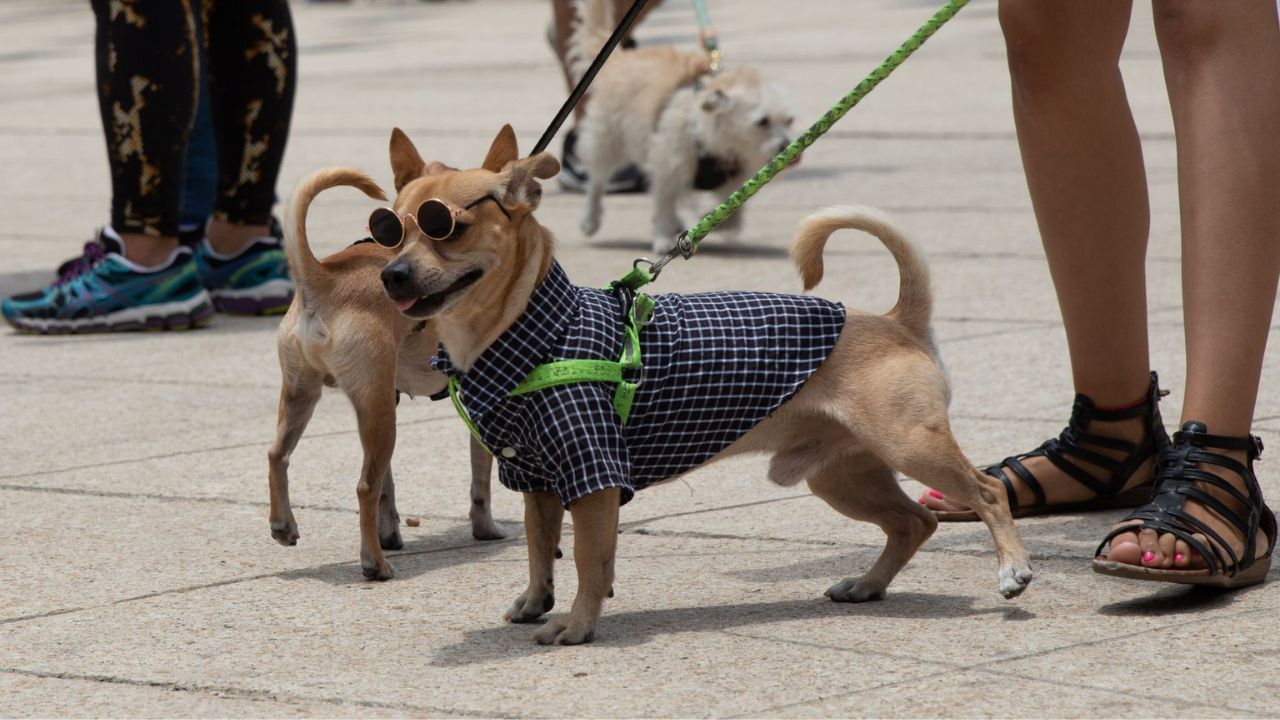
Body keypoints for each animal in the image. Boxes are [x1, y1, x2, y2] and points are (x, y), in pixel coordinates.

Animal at [267, 155, 501, 576]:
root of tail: (322, 280)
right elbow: (481, 480)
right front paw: (485, 528)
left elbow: (388, 493)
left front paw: (389, 533)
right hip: (377, 415)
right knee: (365, 486)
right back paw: (374, 563)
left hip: (305, 394)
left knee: (278, 454)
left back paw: (284, 524)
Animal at [381, 127, 1039, 645]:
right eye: (389, 229)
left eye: (447, 227)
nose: (391, 274)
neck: (533, 332)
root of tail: (895, 320)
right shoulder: (535, 479)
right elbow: (541, 549)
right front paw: (536, 601)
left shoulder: (593, 478)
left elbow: (590, 562)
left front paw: (577, 623)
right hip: (841, 475)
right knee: (914, 523)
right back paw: (868, 584)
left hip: (910, 446)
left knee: (985, 492)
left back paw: (1011, 569)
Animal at [568, 0, 788, 252]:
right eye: (763, 122)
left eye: (789, 121)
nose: (786, 145)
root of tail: (620, 59)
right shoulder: (668, 166)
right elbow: (663, 203)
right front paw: (663, 239)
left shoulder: (731, 179)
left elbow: (733, 215)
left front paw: (710, 222)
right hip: (608, 141)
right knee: (597, 180)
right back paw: (591, 217)